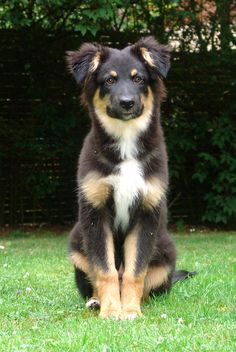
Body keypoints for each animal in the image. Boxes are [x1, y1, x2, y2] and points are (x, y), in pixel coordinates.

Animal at [67, 37, 195, 320]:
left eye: (138, 79)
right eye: (109, 80)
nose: (127, 103)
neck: (126, 144)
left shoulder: (147, 213)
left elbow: (135, 272)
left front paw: (130, 310)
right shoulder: (95, 214)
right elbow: (106, 270)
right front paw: (110, 311)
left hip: (166, 251)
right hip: (77, 242)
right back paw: (95, 301)